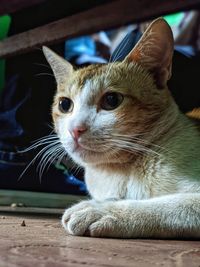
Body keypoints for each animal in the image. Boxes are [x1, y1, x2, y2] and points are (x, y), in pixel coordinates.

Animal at [42, 17, 200, 239]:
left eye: (111, 100)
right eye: (65, 105)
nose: (75, 129)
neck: (119, 173)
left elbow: (172, 204)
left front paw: (102, 210)